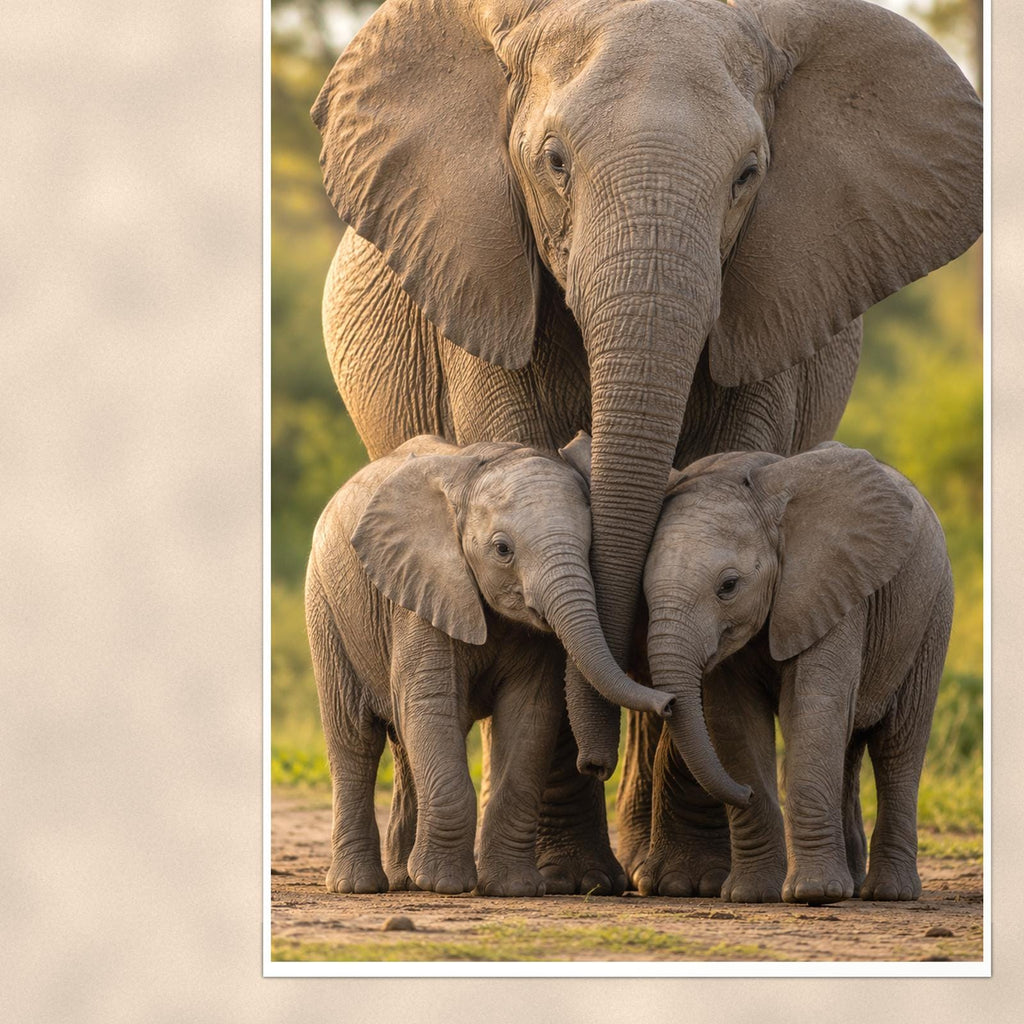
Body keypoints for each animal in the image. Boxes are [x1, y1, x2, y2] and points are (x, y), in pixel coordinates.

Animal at [304, 434, 670, 896]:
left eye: (590, 548)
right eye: (502, 550)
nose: (669, 703)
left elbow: (530, 716)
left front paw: (513, 888)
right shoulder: (421, 593)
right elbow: (431, 706)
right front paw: (443, 884)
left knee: (404, 747)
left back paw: (405, 880)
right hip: (326, 610)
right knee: (354, 740)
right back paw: (359, 886)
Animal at [636, 442, 953, 903]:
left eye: (728, 586)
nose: (745, 793)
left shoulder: (834, 588)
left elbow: (812, 709)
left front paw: (814, 893)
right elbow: (733, 721)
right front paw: (750, 895)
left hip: (931, 613)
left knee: (897, 746)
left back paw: (887, 893)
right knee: (849, 746)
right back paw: (852, 884)